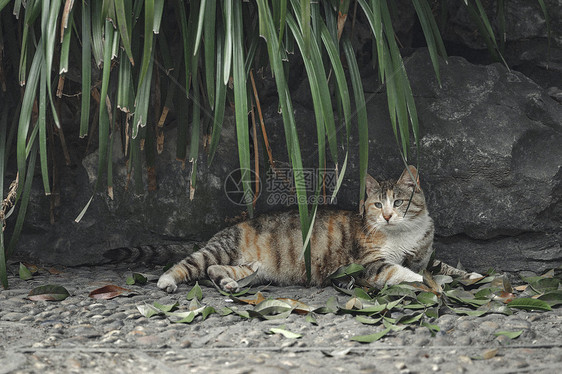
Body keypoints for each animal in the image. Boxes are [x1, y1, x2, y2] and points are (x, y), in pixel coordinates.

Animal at [155, 165, 480, 294]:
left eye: (399, 202)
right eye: (377, 205)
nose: (388, 216)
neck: (403, 235)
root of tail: (224, 230)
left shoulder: (424, 256)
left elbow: (444, 266)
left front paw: (471, 275)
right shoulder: (369, 263)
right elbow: (400, 272)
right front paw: (427, 283)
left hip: (252, 269)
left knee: (216, 271)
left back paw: (229, 285)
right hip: (221, 250)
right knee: (190, 264)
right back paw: (167, 281)